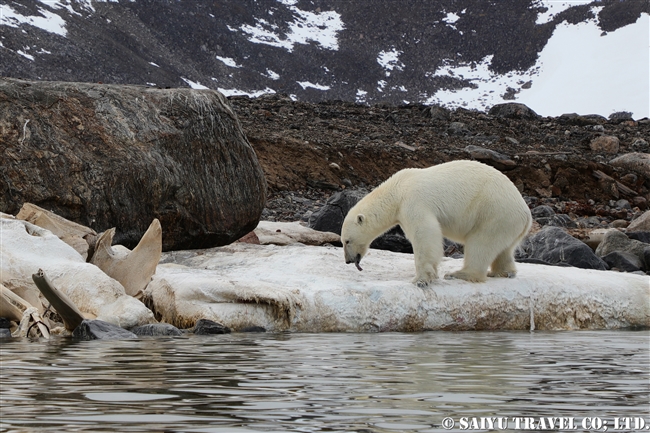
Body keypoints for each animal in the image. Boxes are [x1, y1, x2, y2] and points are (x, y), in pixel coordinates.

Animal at [340, 160, 532, 286]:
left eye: (347, 241)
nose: (348, 261)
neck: (396, 190)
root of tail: (526, 214)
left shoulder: (413, 201)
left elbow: (424, 233)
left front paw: (421, 279)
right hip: (507, 222)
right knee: (504, 248)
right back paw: (503, 272)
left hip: (493, 212)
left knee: (481, 243)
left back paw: (460, 273)